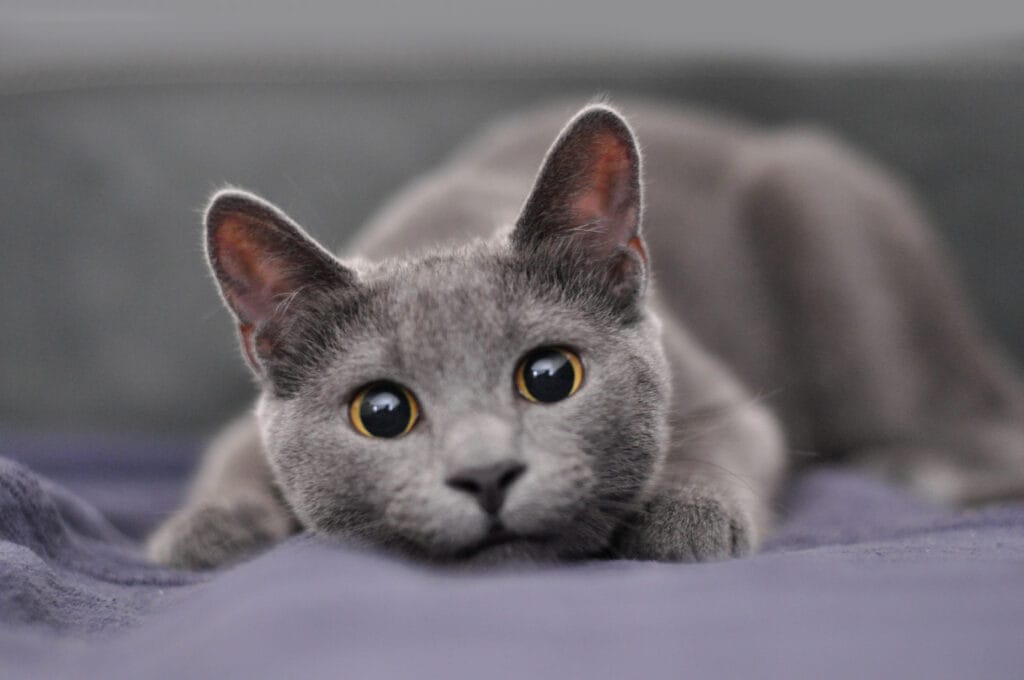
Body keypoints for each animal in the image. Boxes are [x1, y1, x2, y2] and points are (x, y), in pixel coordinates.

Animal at [146, 99, 1024, 569]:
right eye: (382, 413)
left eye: (550, 377)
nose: (487, 474)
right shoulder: (245, 427)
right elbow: (230, 459)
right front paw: (202, 534)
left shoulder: (724, 396)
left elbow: (722, 442)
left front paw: (682, 520)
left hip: (825, 226)